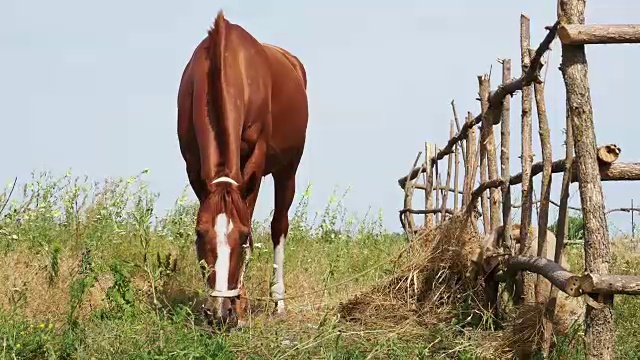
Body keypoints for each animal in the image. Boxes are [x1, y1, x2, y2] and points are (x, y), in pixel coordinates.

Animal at [176, 9, 308, 328]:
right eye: (199, 234)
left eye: (245, 236)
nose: (220, 313)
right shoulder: (193, 164)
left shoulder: (255, 162)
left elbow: (250, 211)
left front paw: (241, 304)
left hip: (288, 170)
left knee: (279, 226)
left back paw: (278, 301)